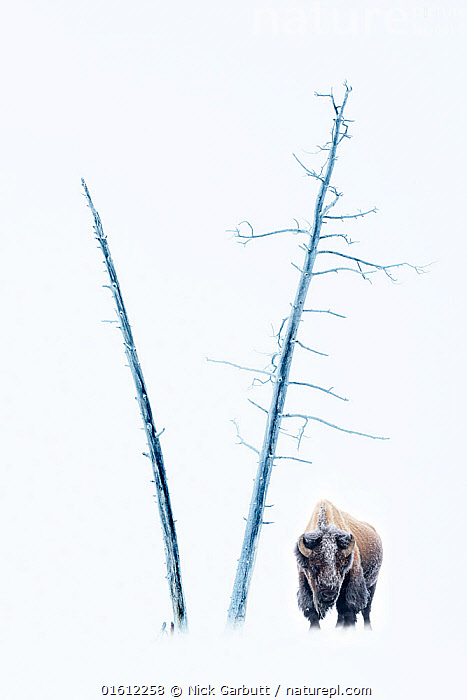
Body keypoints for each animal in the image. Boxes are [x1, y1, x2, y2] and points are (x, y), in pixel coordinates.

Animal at [295, 499, 382, 629]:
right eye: (313, 566)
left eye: (342, 565)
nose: (329, 595)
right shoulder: (305, 584)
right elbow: (312, 613)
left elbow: (349, 611)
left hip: (372, 584)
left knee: (366, 610)